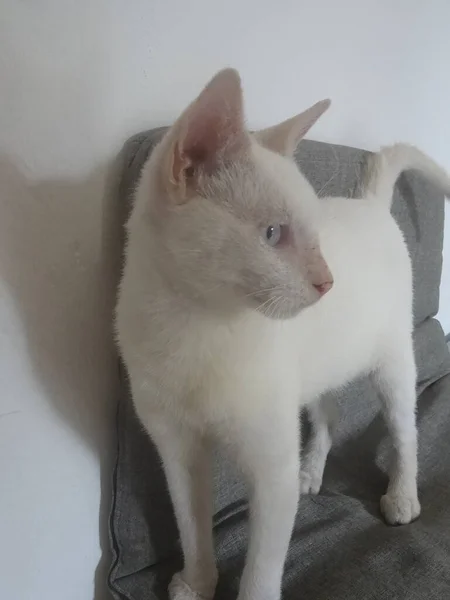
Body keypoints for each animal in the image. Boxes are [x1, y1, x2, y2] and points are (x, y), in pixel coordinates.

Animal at [115, 67, 450, 600]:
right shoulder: (178, 451)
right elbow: (192, 527)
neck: (195, 326)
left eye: (314, 237)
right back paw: (310, 472)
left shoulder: (269, 469)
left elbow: (261, 571)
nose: (328, 281)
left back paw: (401, 498)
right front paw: (196, 583)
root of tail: (371, 206)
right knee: (329, 416)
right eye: (273, 234)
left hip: (393, 365)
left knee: (405, 433)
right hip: (311, 374)